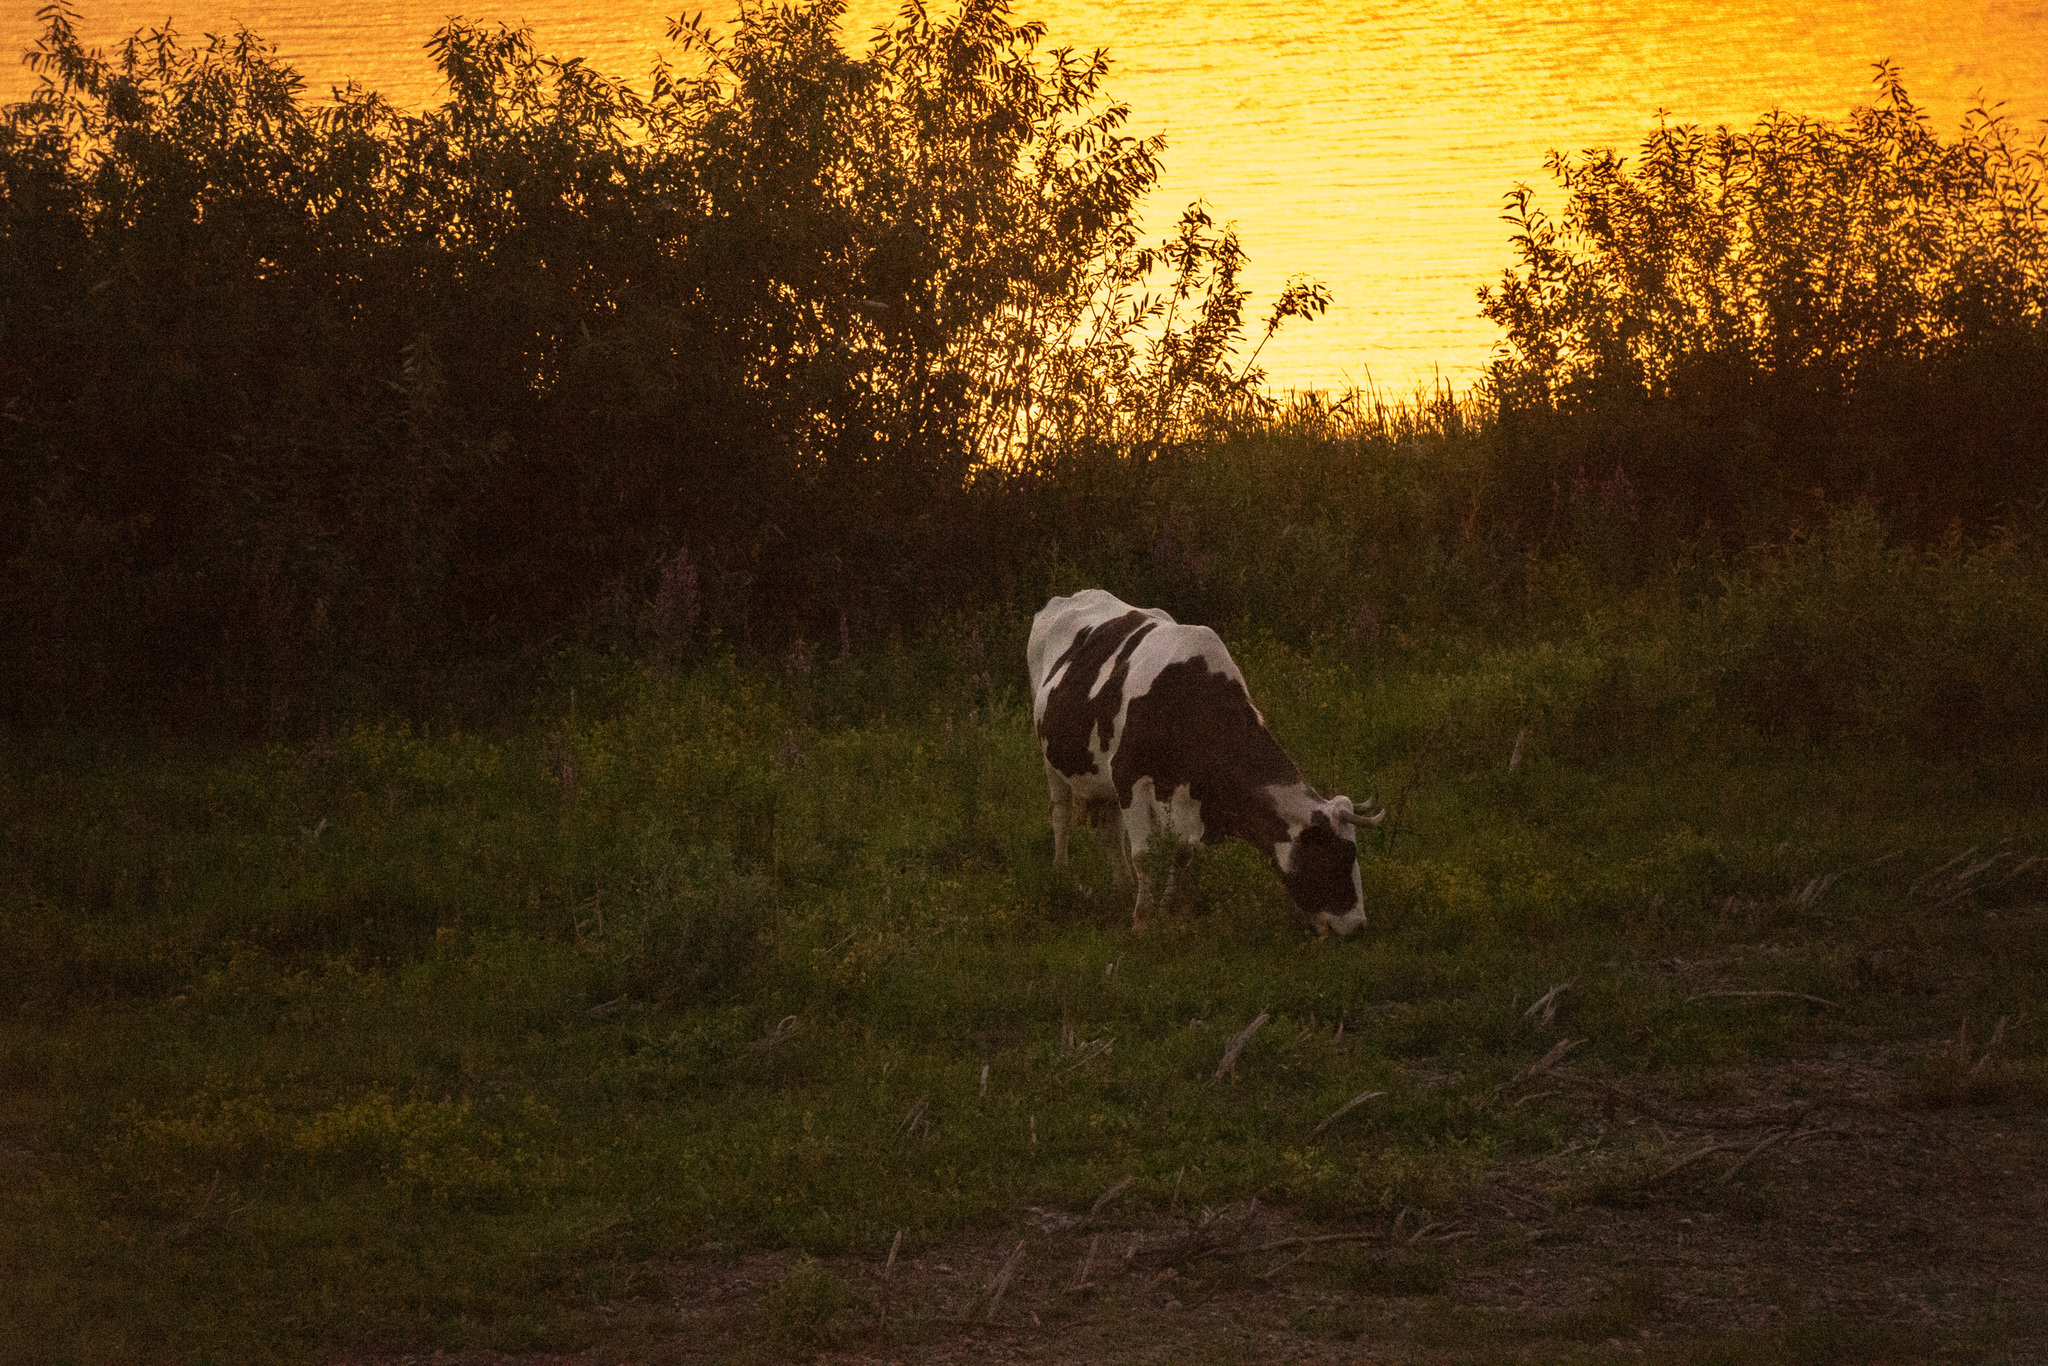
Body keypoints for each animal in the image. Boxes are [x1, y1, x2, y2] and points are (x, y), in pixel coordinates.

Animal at [1032, 593, 1384, 933]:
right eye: (1337, 855)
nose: (1357, 926)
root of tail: (1071, 597)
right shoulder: (1128, 776)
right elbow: (1144, 855)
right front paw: (1143, 921)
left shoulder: (1189, 797)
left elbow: (1182, 853)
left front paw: (1168, 910)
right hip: (1052, 759)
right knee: (1061, 816)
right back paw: (1062, 875)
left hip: (1100, 778)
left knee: (1109, 830)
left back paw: (1123, 889)